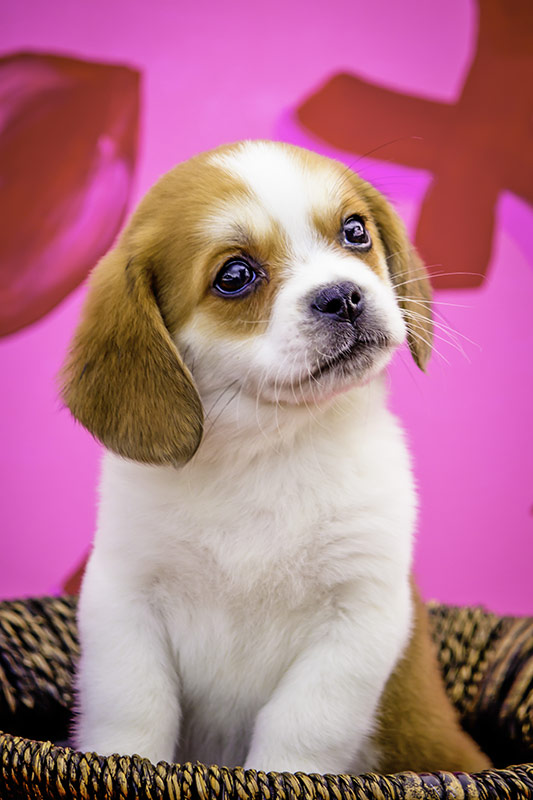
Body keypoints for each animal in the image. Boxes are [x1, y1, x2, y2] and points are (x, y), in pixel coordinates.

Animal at [60, 141, 488, 772]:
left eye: (355, 231)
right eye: (235, 276)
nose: (343, 296)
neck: (268, 452)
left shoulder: (358, 615)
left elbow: (300, 732)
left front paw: (279, 777)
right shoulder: (123, 598)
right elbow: (133, 712)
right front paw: (122, 766)